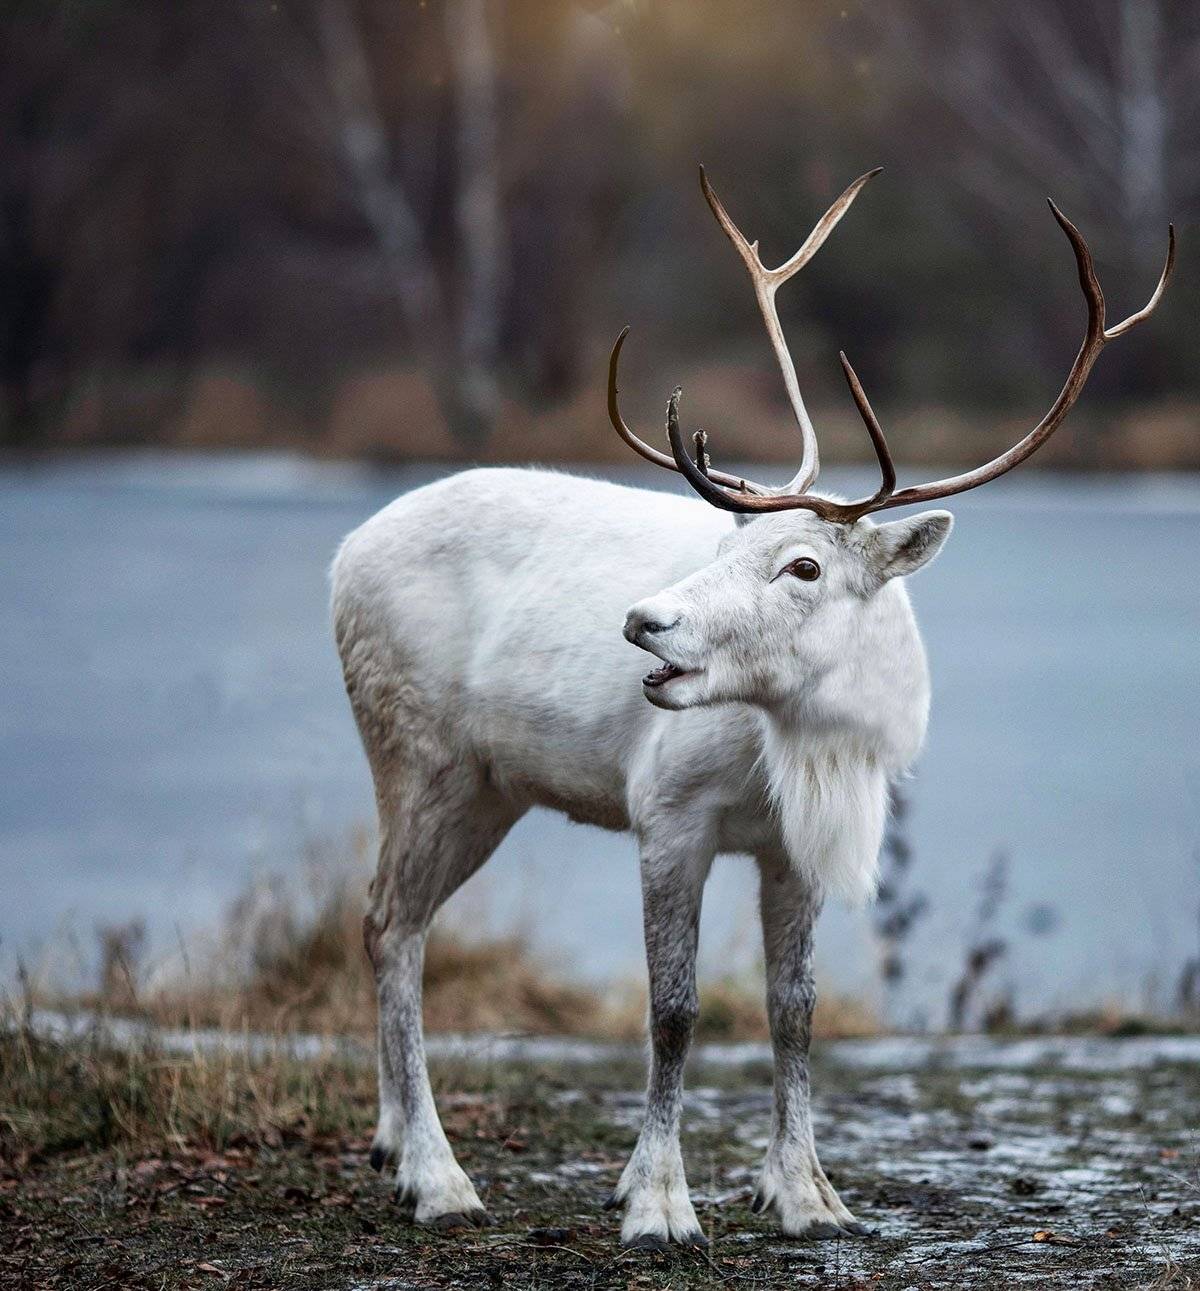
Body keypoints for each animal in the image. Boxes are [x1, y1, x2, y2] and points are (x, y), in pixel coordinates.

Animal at [330, 166, 1172, 1247]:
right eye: (726, 544)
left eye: (803, 565)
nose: (644, 620)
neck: (804, 751)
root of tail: (343, 553)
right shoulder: (668, 814)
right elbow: (675, 1009)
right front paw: (656, 1201)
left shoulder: (792, 848)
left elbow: (794, 1007)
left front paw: (808, 1194)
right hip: (419, 755)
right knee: (392, 924)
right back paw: (439, 1177)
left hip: (488, 787)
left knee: (390, 919)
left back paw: (392, 1145)